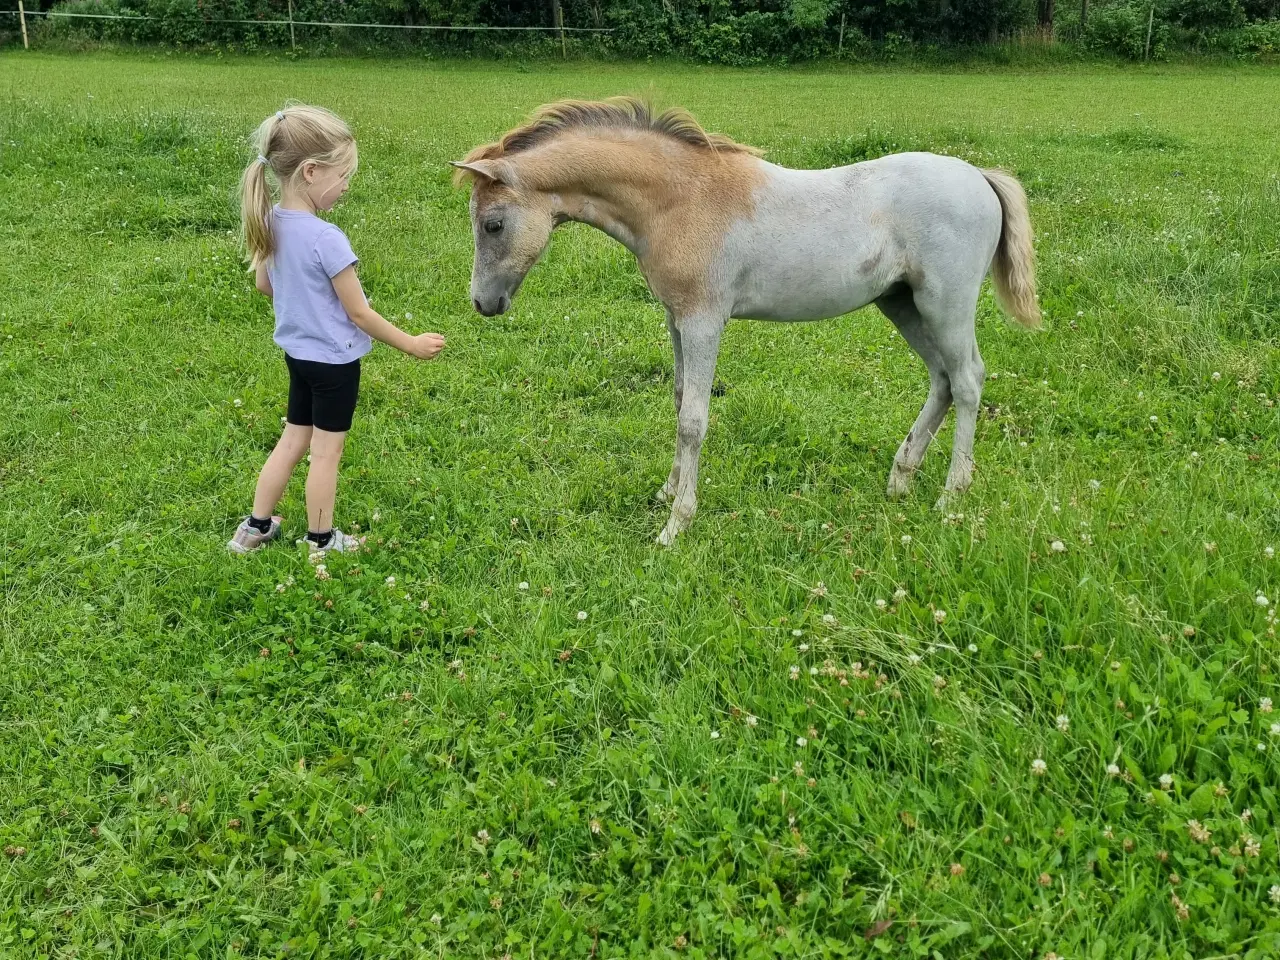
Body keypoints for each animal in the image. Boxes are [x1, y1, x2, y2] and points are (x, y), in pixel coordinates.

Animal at [455, 100, 1034, 547]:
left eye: (493, 224)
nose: (483, 303)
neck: (680, 199)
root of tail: (980, 177)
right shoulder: (676, 319)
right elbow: (679, 400)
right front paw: (667, 492)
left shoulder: (704, 321)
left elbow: (693, 420)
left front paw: (675, 525)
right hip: (903, 305)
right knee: (941, 378)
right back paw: (901, 478)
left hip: (946, 303)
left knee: (967, 380)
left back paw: (951, 494)